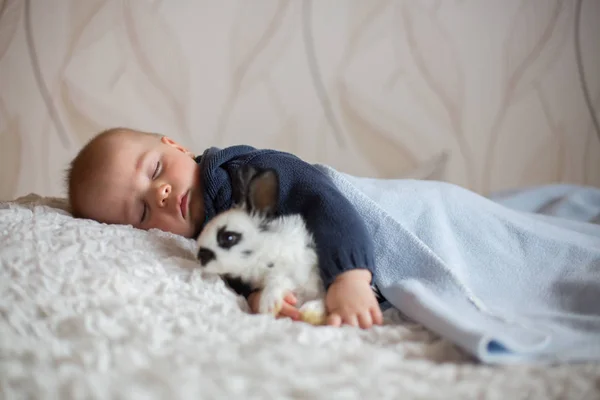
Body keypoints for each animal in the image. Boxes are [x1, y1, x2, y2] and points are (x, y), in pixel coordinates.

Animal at [195, 166, 326, 324]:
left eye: (229, 237)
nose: (200, 257)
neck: (263, 252)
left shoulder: (294, 271)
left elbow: (278, 280)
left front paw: (269, 306)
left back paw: (310, 312)